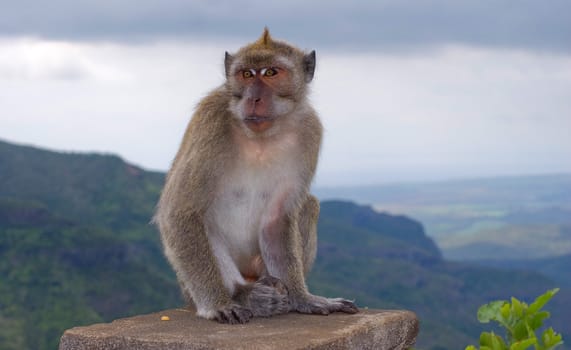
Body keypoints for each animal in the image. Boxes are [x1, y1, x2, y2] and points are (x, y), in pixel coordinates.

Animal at [154, 28, 360, 324]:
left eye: (271, 72)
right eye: (247, 74)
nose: (253, 98)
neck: (261, 136)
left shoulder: (310, 131)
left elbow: (278, 219)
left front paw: (303, 299)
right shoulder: (211, 122)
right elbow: (180, 211)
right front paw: (219, 304)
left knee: (309, 205)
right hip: (190, 284)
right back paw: (244, 294)